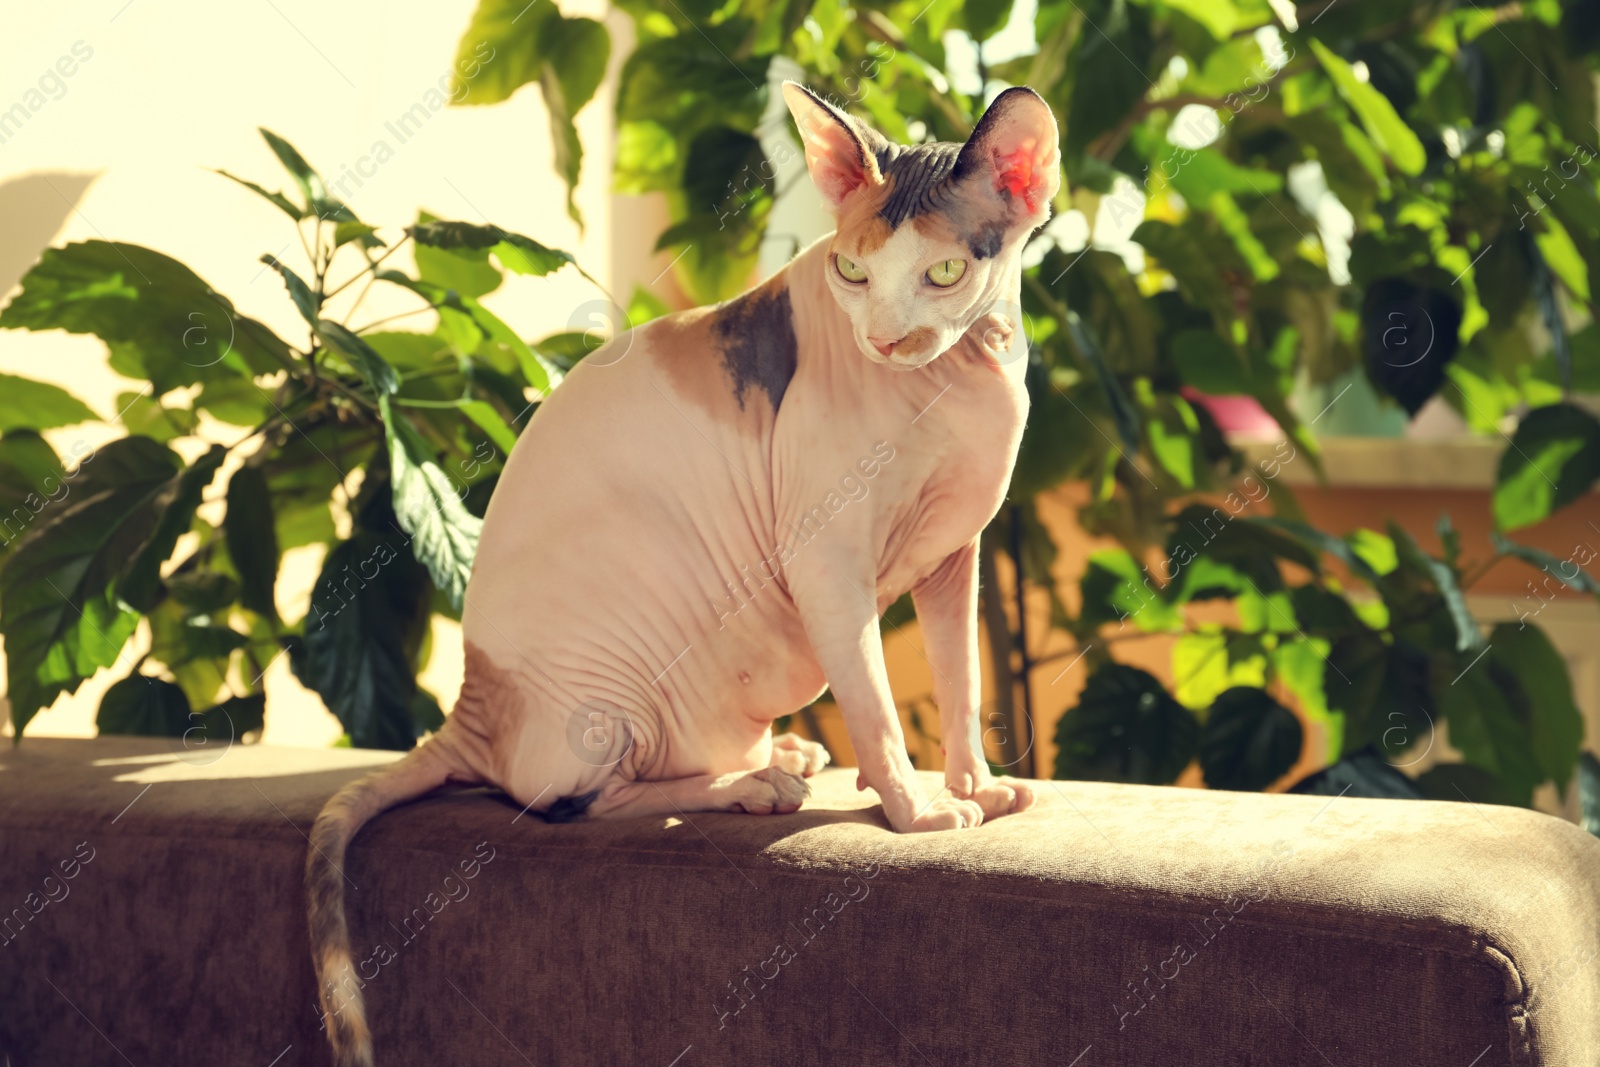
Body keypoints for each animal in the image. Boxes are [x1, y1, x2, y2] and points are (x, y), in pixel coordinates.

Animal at [310, 81, 1062, 1062]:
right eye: (850, 274)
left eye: (943, 274)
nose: (885, 342)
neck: (967, 370)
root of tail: (470, 705)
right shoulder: (827, 556)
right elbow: (876, 700)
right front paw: (916, 808)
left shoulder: (955, 554)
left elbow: (963, 678)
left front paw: (975, 784)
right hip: (610, 683)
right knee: (574, 801)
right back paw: (755, 785)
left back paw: (783, 750)